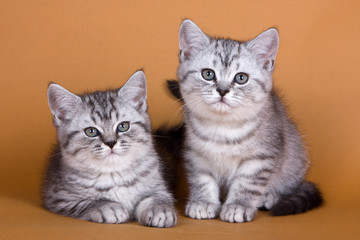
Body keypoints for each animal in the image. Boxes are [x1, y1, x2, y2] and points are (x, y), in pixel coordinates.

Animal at [43, 70, 177, 227]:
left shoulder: (157, 185)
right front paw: (109, 207)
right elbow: (89, 202)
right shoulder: (59, 198)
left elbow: (158, 196)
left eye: (123, 126)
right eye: (91, 131)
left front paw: (160, 209)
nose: (111, 142)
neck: (114, 173)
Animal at [156, 19, 322, 223]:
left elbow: (247, 184)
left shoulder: (260, 157)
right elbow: (202, 179)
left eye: (241, 78)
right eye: (208, 74)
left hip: (295, 156)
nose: (222, 90)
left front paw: (238, 206)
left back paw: (270, 196)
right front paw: (203, 202)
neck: (222, 128)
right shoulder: (196, 154)